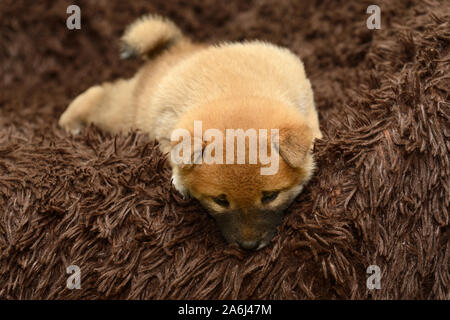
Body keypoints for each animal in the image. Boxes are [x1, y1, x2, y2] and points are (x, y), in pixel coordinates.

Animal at [59, 15, 322, 250]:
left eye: (270, 196)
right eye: (221, 201)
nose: (248, 246)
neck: (237, 92)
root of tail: (169, 50)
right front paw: (180, 178)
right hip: (124, 115)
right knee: (99, 95)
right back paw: (68, 122)